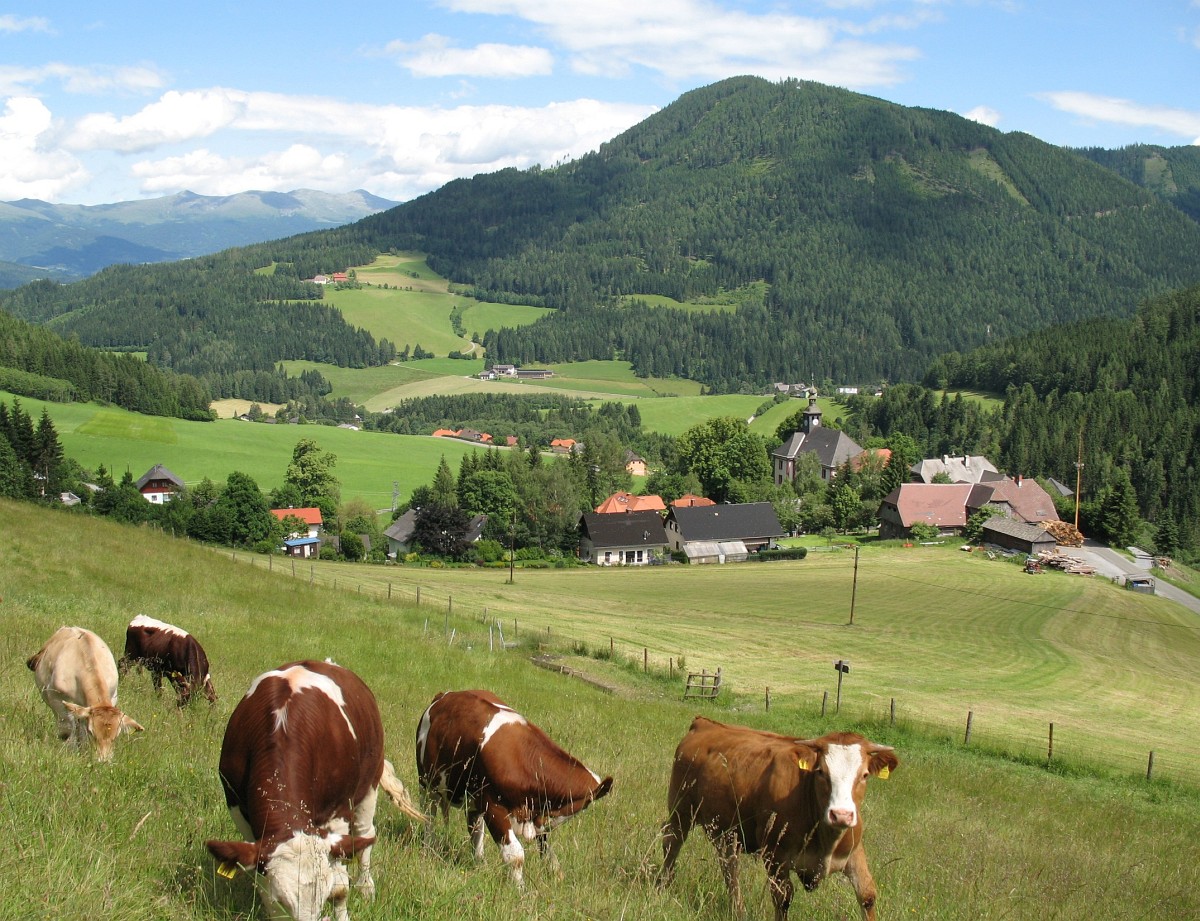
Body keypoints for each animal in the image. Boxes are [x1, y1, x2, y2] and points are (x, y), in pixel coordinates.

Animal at [26, 626, 144, 762]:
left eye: (116, 736)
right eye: (92, 732)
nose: (104, 761)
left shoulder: (111, 698)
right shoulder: (58, 700)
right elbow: (68, 728)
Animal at [205, 660, 424, 921]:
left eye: (322, 898)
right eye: (280, 901)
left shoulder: (338, 813)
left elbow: (340, 887)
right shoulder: (240, 813)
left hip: (370, 782)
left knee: (364, 834)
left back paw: (365, 886)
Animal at [415, 688, 613, 886]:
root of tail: (445, 695)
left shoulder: (535, 814)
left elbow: (545, 847)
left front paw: (554, 872)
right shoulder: (493, 806)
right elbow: (515, 855)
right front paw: (521, 889)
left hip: (471, 799)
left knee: (475, 829)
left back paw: (479, 863)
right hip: (426, 784)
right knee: (429, 816)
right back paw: (427, 848)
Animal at [658, 717, 898, 921]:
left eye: (864, 775)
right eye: (821, 772)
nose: (841, 814)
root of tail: (705, 723)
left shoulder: (854, 850)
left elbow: (867, 894)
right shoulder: (775, 855)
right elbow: (783, 898)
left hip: (727, 830)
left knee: (729, 865)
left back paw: (738, 910)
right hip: (681, 809)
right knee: (672, 841)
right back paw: (663, 885)